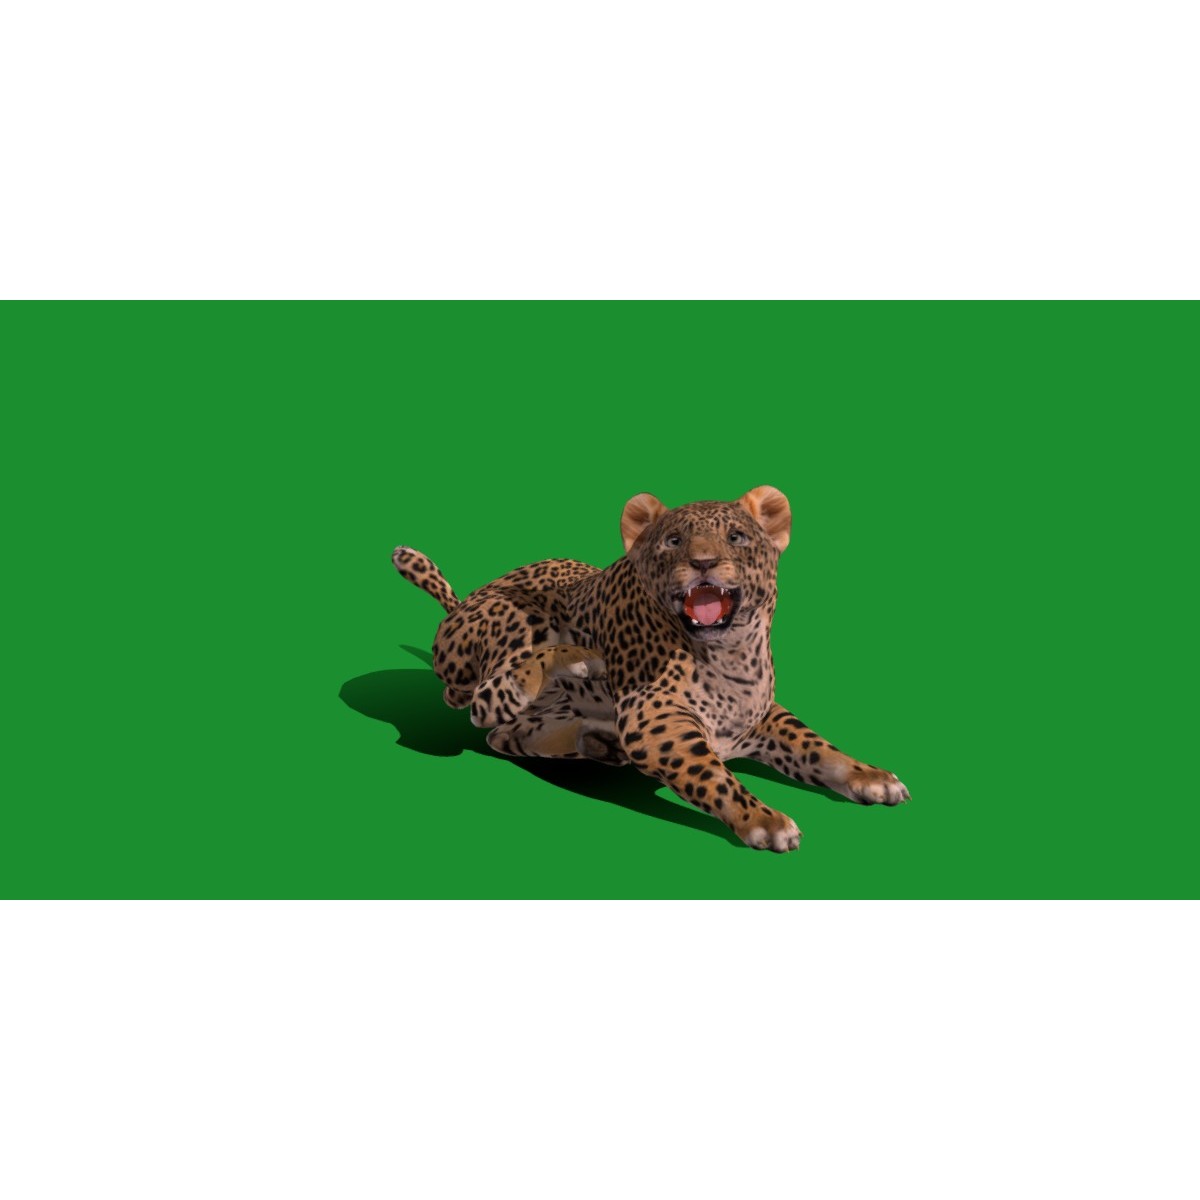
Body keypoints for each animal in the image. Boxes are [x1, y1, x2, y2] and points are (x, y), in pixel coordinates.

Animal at [391, 486, 908, 852]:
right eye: (673, 541)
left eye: (736, 537)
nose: (703, 562)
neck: (731, 653)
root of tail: (463, 603)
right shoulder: (656, 721)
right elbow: (713, 774)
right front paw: (763, 819)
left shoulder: (761, 716)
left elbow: (818, 747)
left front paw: (870, 776)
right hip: (518, 618)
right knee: (484, 701)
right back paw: (579, 662)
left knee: (502, 734)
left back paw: (595, 741)